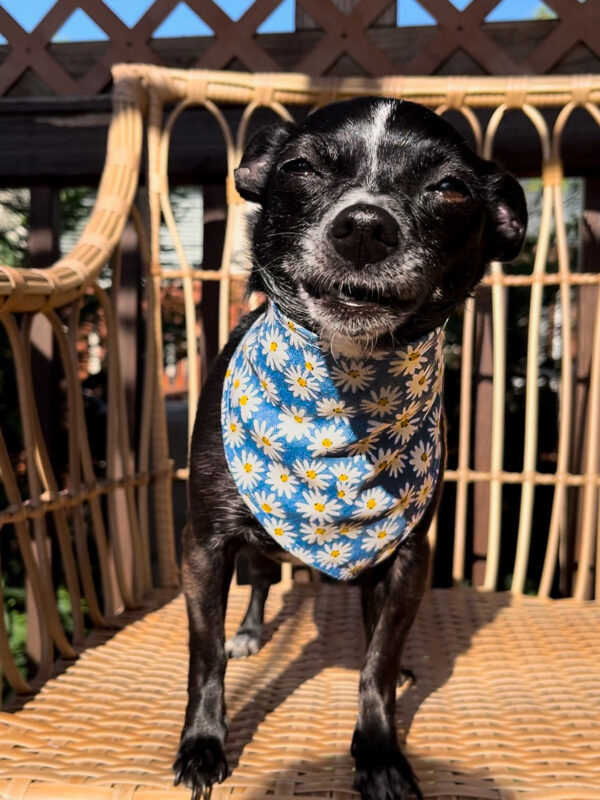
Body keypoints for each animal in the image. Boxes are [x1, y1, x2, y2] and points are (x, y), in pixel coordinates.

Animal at [173, 98, 524, 800]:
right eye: (300, 168)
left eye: (451, 188)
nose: (364, 225)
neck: (345, 393)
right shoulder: (204, 547)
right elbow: (204, 653)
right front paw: (202, 743)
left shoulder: (408, 560)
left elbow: (376, 666)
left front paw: (382, 754)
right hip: (252, 545)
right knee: (260, 583)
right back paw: (249, 633)